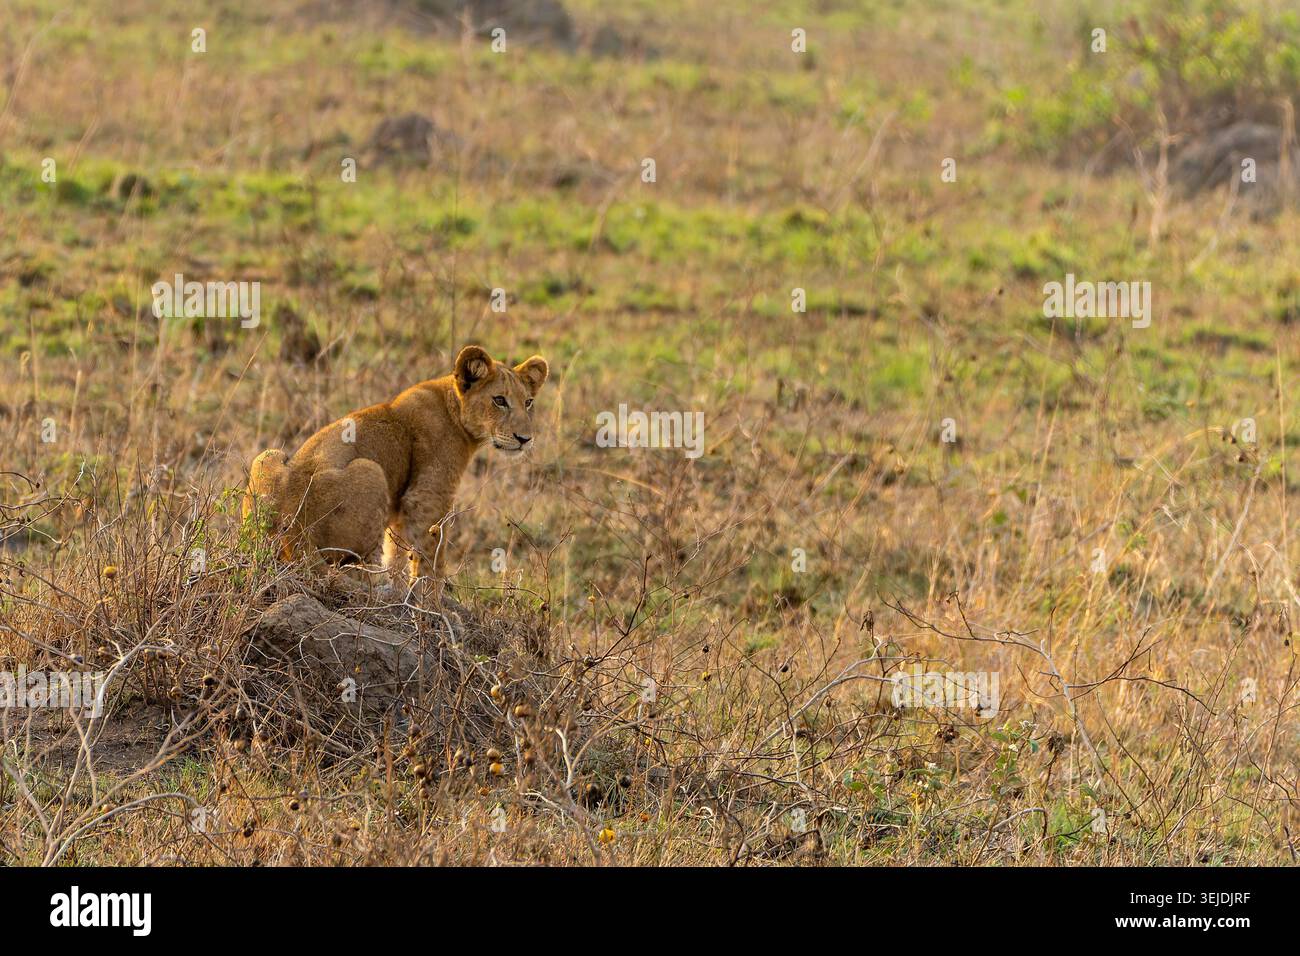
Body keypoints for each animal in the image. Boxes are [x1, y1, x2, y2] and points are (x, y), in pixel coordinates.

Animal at [243, 345, 549, 603]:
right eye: (499, 400)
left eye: (528, 402)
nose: (525, 439)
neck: (453, 407)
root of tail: (294, 529)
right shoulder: (428, 497)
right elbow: (432, 558)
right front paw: (433, 606)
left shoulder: (402, 507)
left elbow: (397, 554)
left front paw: (402, 591)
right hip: (371, 470)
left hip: (268, 456)